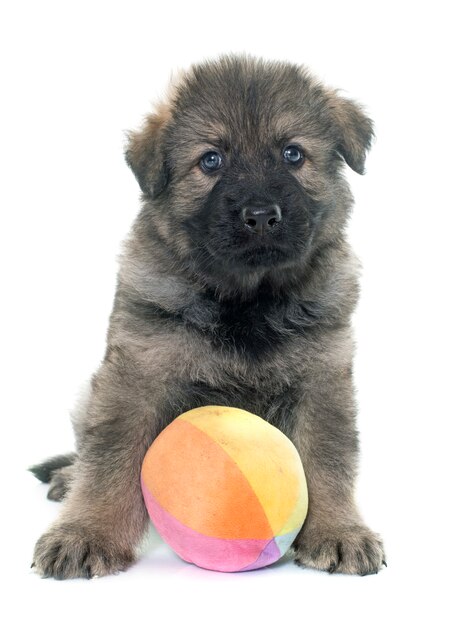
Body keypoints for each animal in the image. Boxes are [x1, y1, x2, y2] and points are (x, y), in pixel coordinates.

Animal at [29, 56, 384, 576]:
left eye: (292, 154)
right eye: (211, 160)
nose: (261, 215)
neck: (246, 301)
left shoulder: (322, 381)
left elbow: (328, 461)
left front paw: (338, 530)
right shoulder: (137, 373)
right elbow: (109, 459)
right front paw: (87, 532)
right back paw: (66, 477)